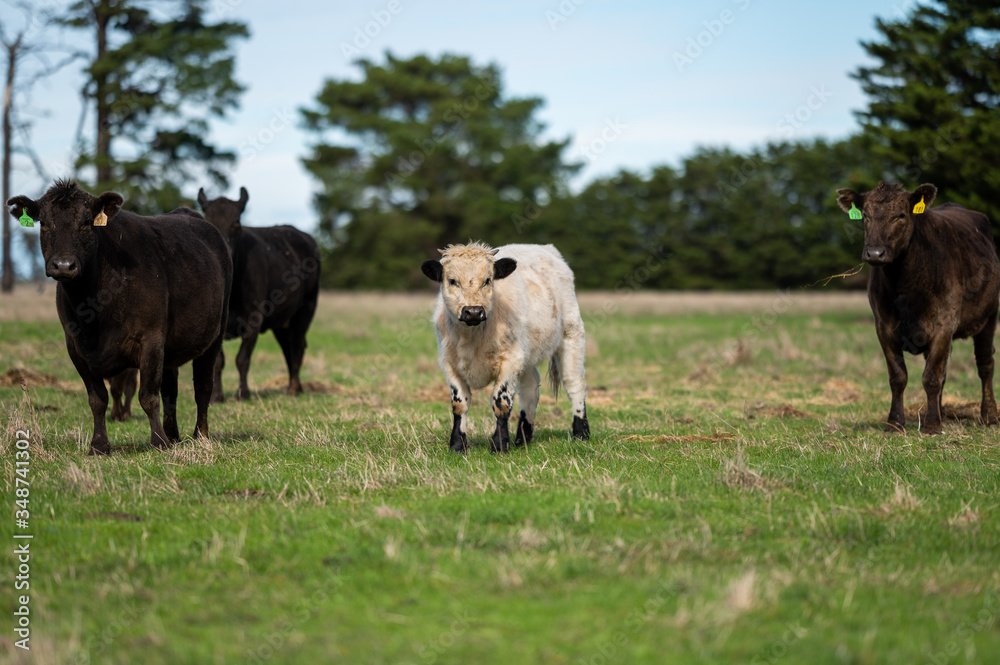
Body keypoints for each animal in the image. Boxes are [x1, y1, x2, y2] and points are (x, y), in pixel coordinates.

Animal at [7, 180, 232, 455]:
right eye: (44, 223)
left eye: (87, 222)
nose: (63, 265)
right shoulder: (76, 348)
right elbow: (97, 399)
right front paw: (99, 445)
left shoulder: (150, 339)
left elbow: (147, 396)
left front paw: (158, 442)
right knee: (171, 390)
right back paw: (174, 436)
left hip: (215, 334)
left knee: (202, 387)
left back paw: (199, 436)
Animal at [197, 187, 321, 401]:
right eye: (208, 219)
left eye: (236, 221)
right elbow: (218, 362)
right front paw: (217, 396)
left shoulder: (254, 318)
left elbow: (242, 359)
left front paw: (243, 394)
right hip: (281, 322)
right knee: (288, 350)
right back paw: (294, 387)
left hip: (306, 309)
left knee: (297, 347)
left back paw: (293, 389)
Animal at [421, 241, 590, 453]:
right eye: (452, 281)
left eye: (487, 280)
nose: (473, 311)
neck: (472, 337)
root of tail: (545, 248)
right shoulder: (449, 362)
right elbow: (459, 404)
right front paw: (458, 445)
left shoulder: (510, 360)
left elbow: (500, 402)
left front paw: (500, 444)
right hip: (526, 355)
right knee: (530, 390)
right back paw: (523, 438)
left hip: (571, 335)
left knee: (574, 384)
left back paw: (581, 434)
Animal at [836, 181, 1000, 435]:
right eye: (865, 216)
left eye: (901, 215)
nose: (875, 253)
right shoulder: (883, 326)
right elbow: (899, 377)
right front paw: (895, 423)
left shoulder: (944, 324)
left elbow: (931, 378)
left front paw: (932, 426)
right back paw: (942, 414)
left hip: (989, 315)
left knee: (985, 365)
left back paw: (989, 416)